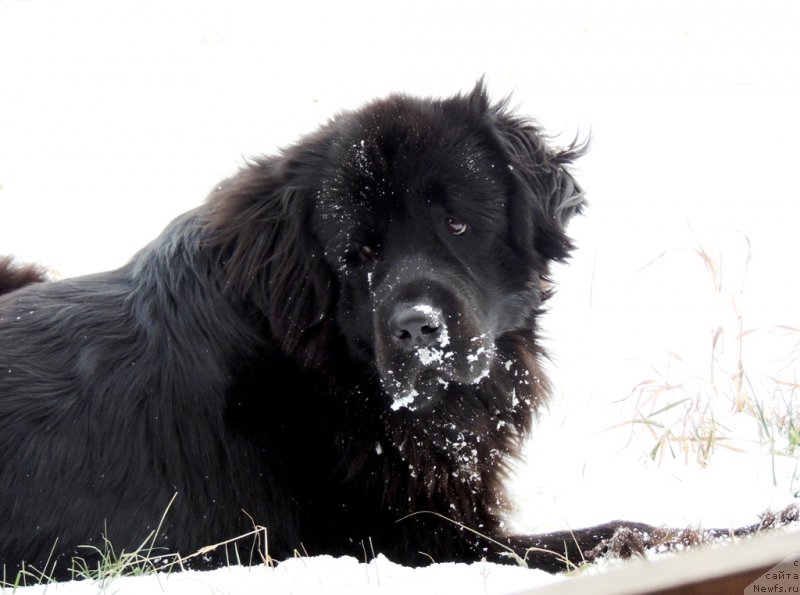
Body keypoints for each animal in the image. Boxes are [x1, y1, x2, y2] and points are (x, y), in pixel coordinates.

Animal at [0, 81, 776, 580]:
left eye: (457, 225)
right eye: (358, 254)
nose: (417, 329)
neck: (319, 369)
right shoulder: (418, 539)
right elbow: (618, 530)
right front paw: (754, 528)